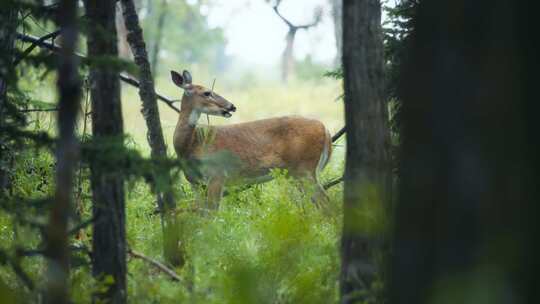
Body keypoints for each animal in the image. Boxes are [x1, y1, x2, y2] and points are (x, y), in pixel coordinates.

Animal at [171, 70, 332, 210]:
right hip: (296, 173)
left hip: (305, 168)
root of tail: (326, 130)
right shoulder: (195, 183)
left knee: (326, 203)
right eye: (207, 93)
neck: (191, 145)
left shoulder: (217, 174)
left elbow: (212, 213)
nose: (232, 106)